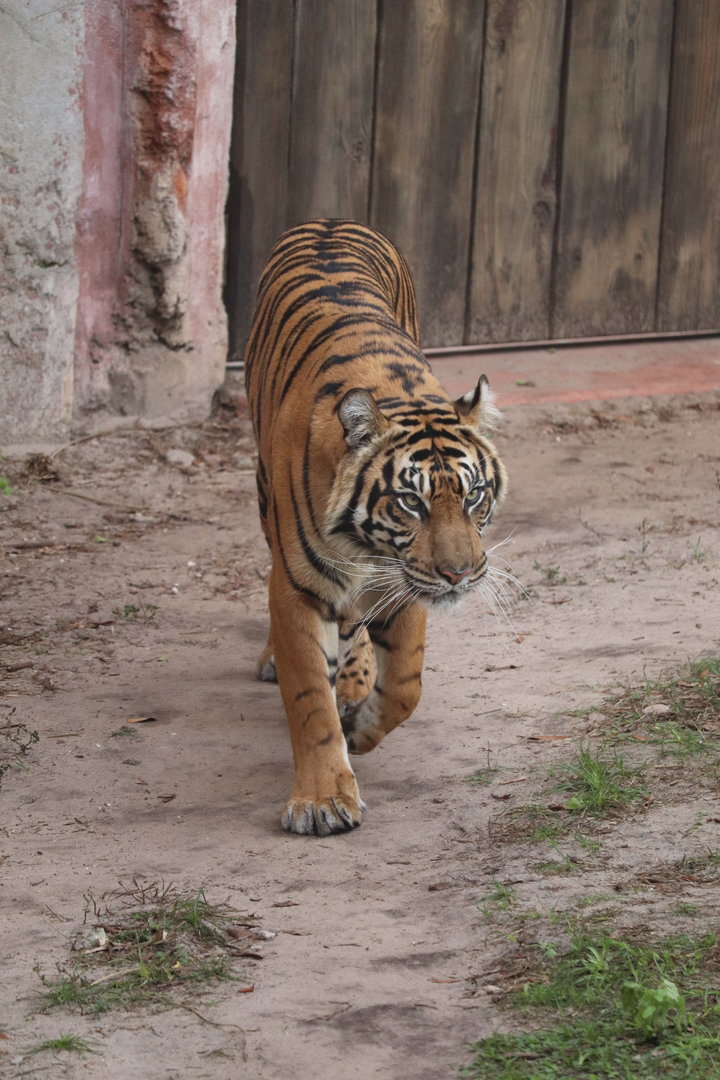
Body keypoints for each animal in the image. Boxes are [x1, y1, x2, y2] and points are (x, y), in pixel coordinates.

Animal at [244, 219, 507, 836]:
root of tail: (332, 219)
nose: (461, 575)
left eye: (473, 495)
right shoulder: (297, 586)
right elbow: (308, 699)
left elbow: (406, 684)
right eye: (411, 502)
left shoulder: (405, 581)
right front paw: (321, 802)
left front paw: (360, 727)